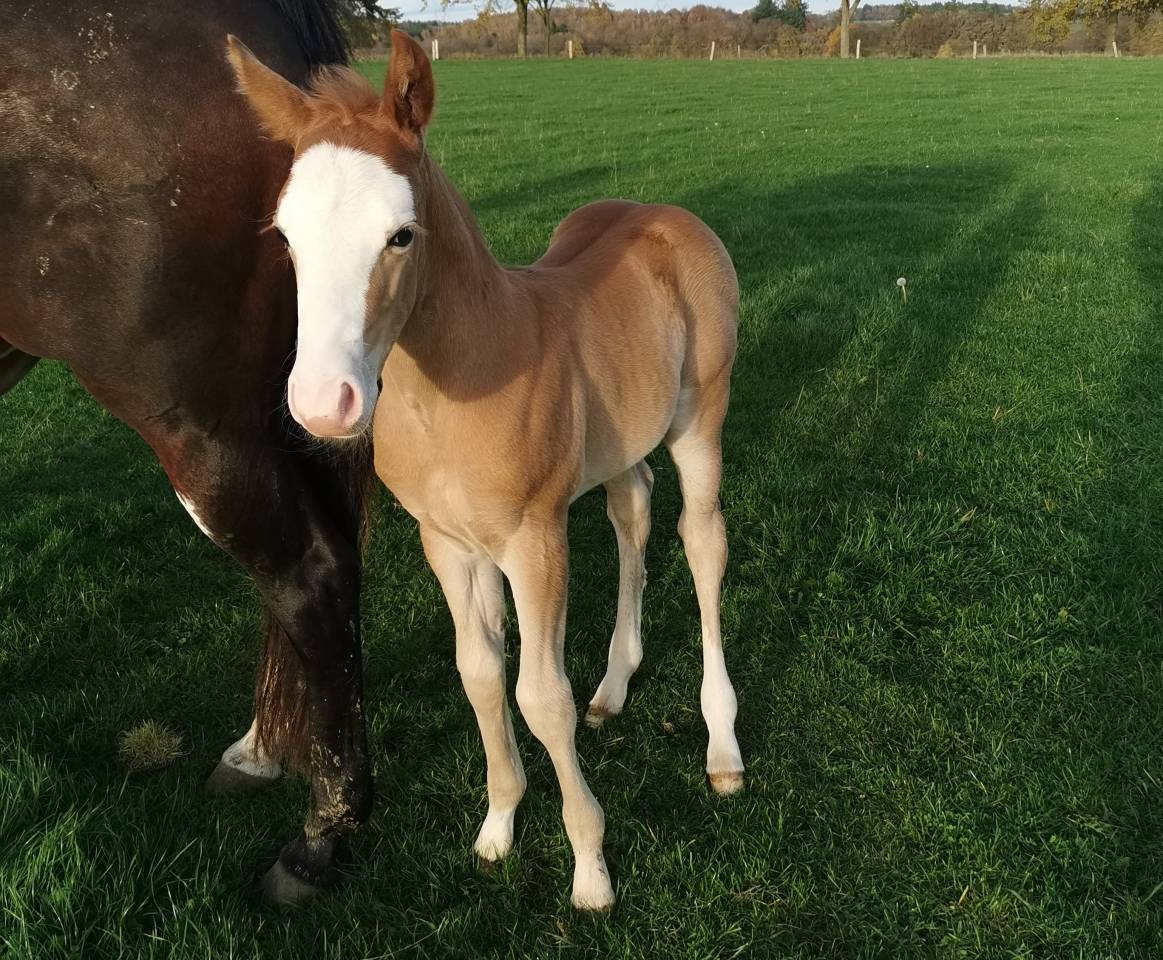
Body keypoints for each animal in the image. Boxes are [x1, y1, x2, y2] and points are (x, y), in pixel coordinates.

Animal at [228, 29, 746, 909]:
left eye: (401, 235)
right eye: (287, 238)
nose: (324, 404)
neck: (455, 386)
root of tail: (668, 215)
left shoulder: (534, 541)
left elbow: (540, 696)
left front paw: (590, 867)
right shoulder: (447, 543)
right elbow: (477, 675)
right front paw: (499, 825)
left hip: (699, 421)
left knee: (701, 542)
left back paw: (721, 748)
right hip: (619, 441)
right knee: (633, 512)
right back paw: (616, 684)